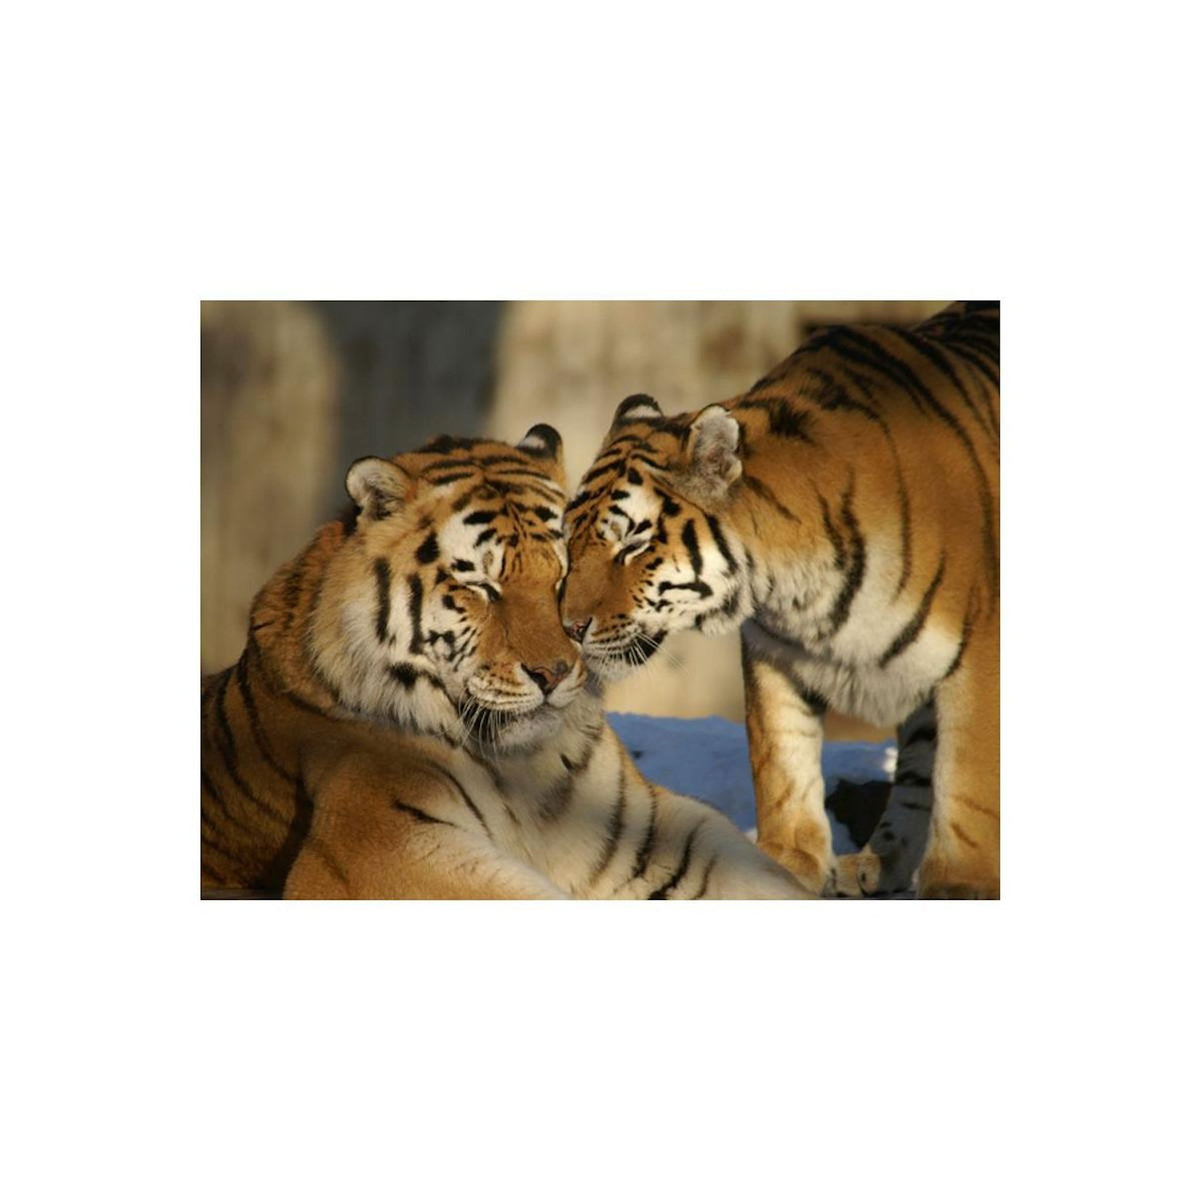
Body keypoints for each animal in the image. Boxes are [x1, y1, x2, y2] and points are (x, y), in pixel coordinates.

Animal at [201, 425, 810, 900]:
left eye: (564, 574)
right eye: (481, 586)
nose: (553, 673)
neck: (526, 769)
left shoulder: (646, 833)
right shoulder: (376, 847)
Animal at [560, 301, 1000, 899]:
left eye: (632, 544)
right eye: (570, 540)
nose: (568, 626)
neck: (795, 586)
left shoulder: (979, 650)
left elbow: (968, 782)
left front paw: (961, 885)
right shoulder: (775, 652)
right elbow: (782, 760)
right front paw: (787, 863)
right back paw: (877, 862)